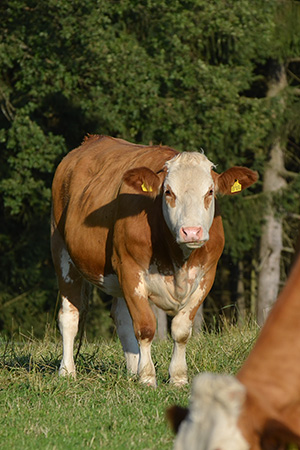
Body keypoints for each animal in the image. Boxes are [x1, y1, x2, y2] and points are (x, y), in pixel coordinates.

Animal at [50, 134, 256, 386]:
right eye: (168, 191)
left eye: (209, 191)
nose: (192, 232)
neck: (178, 260)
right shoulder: (130, 270)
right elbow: (146, 327)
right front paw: (148, 377)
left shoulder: (207, 275)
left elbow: (181, 329)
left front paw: (177, 377)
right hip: (61, 251)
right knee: (70, 316)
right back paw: (67, 371)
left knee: (121, 318)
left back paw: (131, 371)